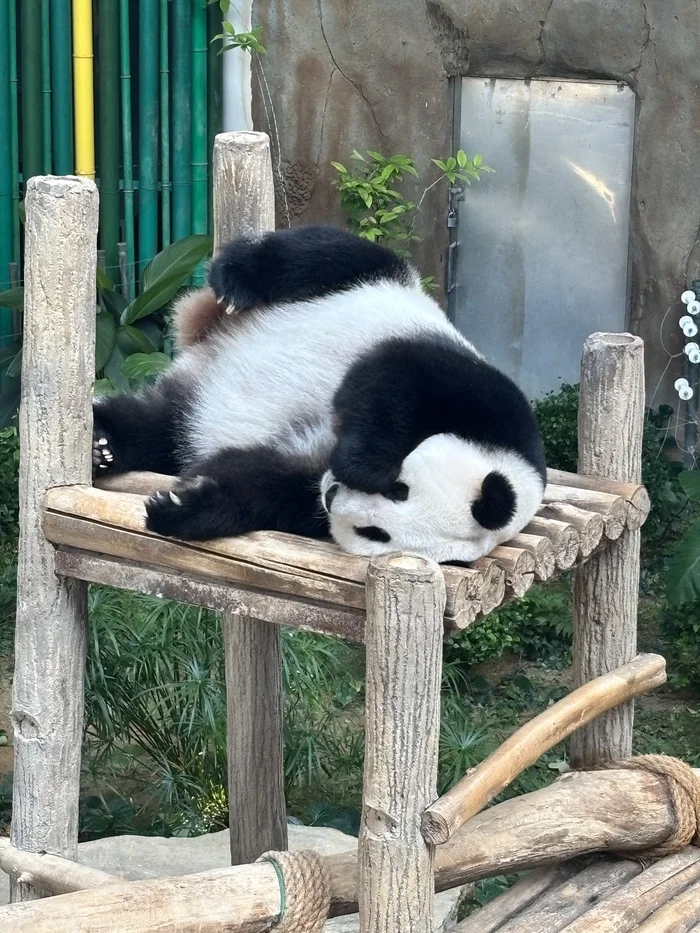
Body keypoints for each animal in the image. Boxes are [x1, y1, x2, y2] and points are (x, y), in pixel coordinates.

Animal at [92, 224, 546, 563]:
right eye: (398, 489)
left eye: (375, 532)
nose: (331, 495)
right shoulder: (487, 399)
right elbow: (393, 377)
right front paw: (362, 464)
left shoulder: (305, 486)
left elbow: (265, 486)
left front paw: (183, 505)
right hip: (368, 286)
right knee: (326, 256)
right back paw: (237, 281)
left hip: (189, 408)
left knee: (157, 426)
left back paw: (105, 444)